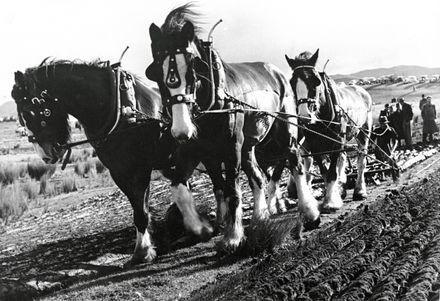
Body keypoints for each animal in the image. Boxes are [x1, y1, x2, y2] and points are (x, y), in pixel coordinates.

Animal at [146, 4, 322, 251]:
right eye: (157, 75)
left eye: (192, 72)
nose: (181, 130)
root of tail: (277, 71)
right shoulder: (196, 150)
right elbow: (180, 188)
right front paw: (201, 228)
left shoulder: (231, 148)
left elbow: (232, 190)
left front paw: (233, 236)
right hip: (248, 146)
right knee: (257, 176)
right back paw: (260, 216)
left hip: (284, 133)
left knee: (295, 161)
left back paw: (309, 211)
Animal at [284, 49, 372, 209]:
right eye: (292, 82)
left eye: (316, 81)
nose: (305, 115)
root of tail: (361, 89)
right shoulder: (315, 144)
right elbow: (325, 172)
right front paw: (333, 195)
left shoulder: (336, 141)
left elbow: (332, 172)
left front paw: (330, 202)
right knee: (343, 158)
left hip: (364, 132)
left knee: (361, 160)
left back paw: (359, 190)